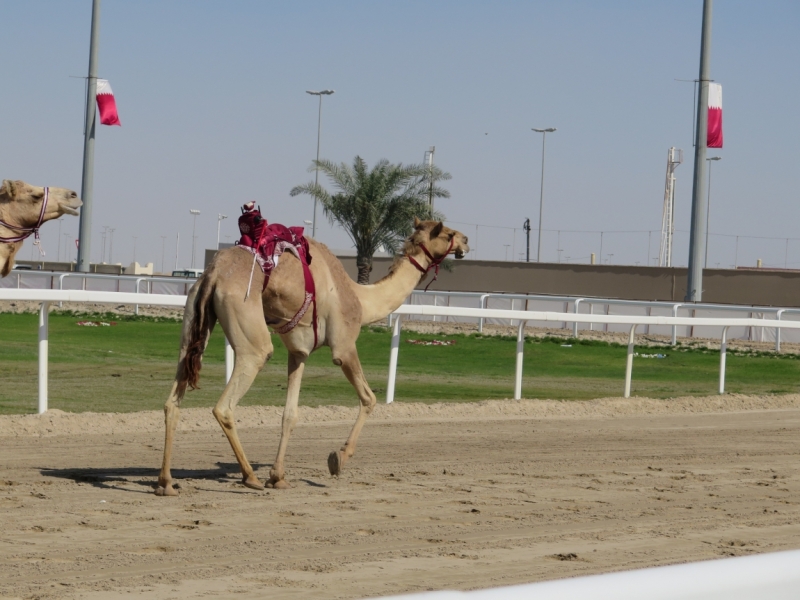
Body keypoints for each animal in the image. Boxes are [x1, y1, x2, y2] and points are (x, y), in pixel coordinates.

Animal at [156, 218, 468, 494]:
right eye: (448, 233)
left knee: (173, 401)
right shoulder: (344, 346)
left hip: (193, 322)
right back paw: (249, 477)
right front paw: (338, 459)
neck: (361, 299)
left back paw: (166, 482)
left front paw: (278, 477)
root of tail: (214, 273)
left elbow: (290, 414)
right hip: (249, 332)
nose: (465, 240)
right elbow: (369, 398)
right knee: (226, 403)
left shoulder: (298, 352)